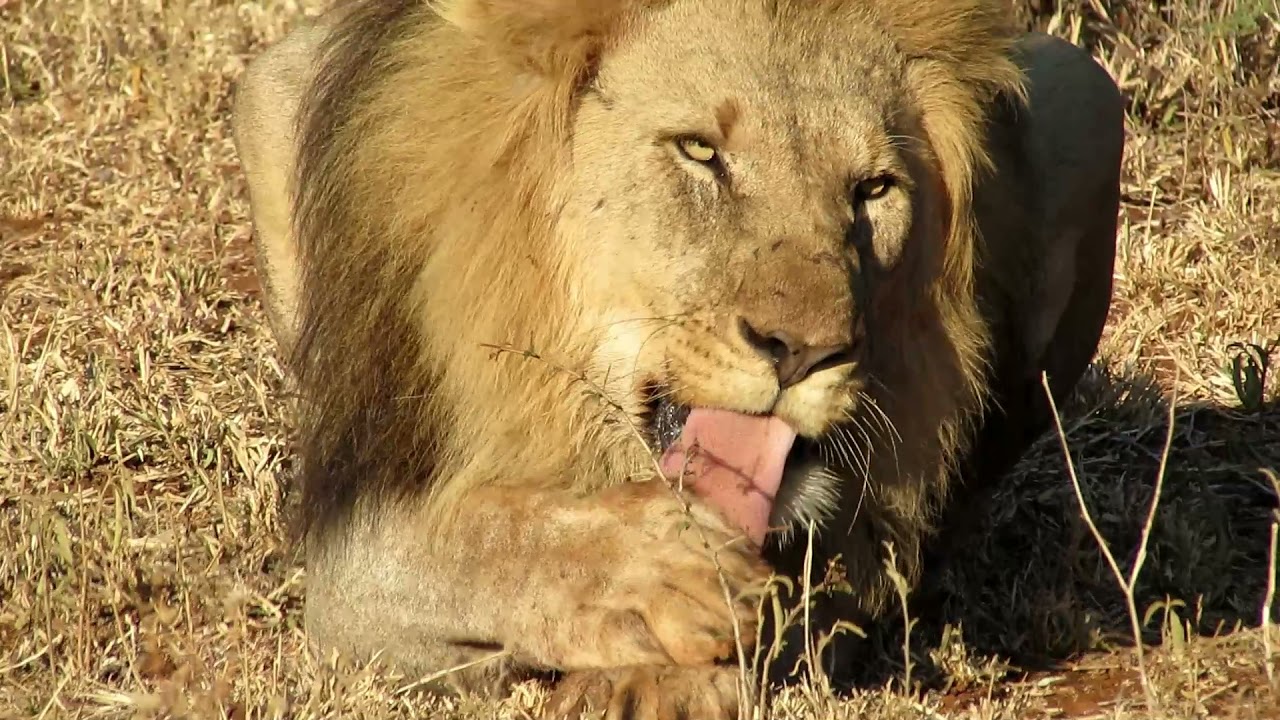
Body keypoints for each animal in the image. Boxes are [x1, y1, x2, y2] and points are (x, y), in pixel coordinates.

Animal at [230, 0, 1124, 716]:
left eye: (873, 189)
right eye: (700, 151)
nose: (805, 352)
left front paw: (658, 673)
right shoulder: (358, 556)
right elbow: (483, 542)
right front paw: (661, 575)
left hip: (1087, 95)